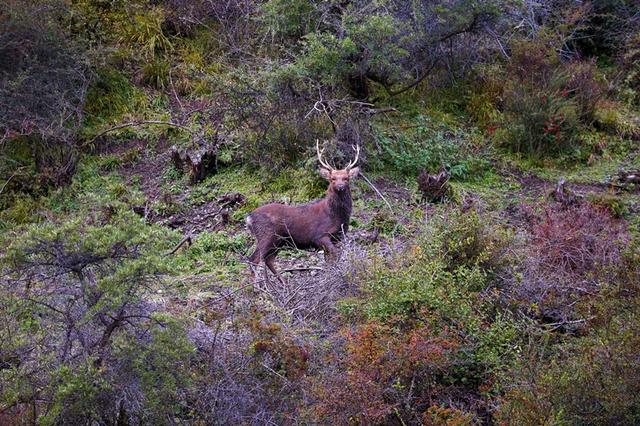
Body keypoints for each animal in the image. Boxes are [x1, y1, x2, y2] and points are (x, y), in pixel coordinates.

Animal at [246, 141, 360, 284]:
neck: (336, 216)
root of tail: (249, 217)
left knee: (268, 260)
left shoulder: (337, 238)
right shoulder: (320, 235)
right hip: (266, 235)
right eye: (332, 178)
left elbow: (330, 260)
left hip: (278, 241)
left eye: (346, 178)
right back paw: (260, 287)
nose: (340, 187)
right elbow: (334, 256)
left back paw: (283, 284)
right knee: (254, 259)